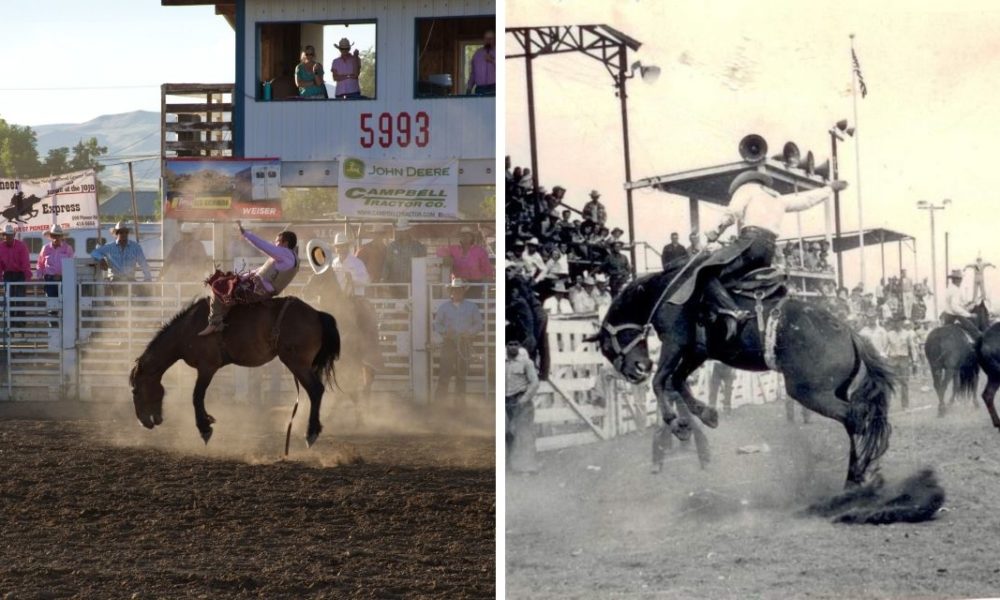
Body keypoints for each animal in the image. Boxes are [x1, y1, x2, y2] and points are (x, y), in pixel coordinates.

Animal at [592, 266, 900, 488]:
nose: (637, 370)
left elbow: (661, 382)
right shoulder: (697, 350)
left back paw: (856, 477)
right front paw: (706, 415)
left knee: (854, 418)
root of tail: (849, 333)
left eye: (606, 346)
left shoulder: (676, 342)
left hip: (810, 392)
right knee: (857, 420)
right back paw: (862, 473)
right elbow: (678, 381)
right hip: (831, 390)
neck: (664, 292)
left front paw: (678, 425)